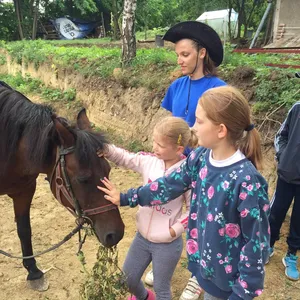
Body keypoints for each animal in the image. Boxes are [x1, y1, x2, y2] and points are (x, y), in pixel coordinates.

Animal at [0, 83, 125, 290]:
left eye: (108, 170)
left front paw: (33, 271)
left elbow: (24, 230)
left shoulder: (24, 190)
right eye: (83, 179)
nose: (115, 234)